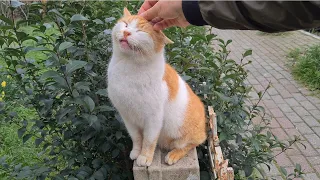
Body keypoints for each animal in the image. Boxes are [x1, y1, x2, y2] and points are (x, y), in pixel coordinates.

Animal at [107, 8, 208, 166]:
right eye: (125, 24)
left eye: (140, 31)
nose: (126, 32)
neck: (128, 67)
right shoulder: (127, 116)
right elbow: (136, 138)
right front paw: (136, 152)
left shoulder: (153, 118)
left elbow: (149, 141)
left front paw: (145, 157)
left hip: (185, 136)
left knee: (191, 144)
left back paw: (173, 155)